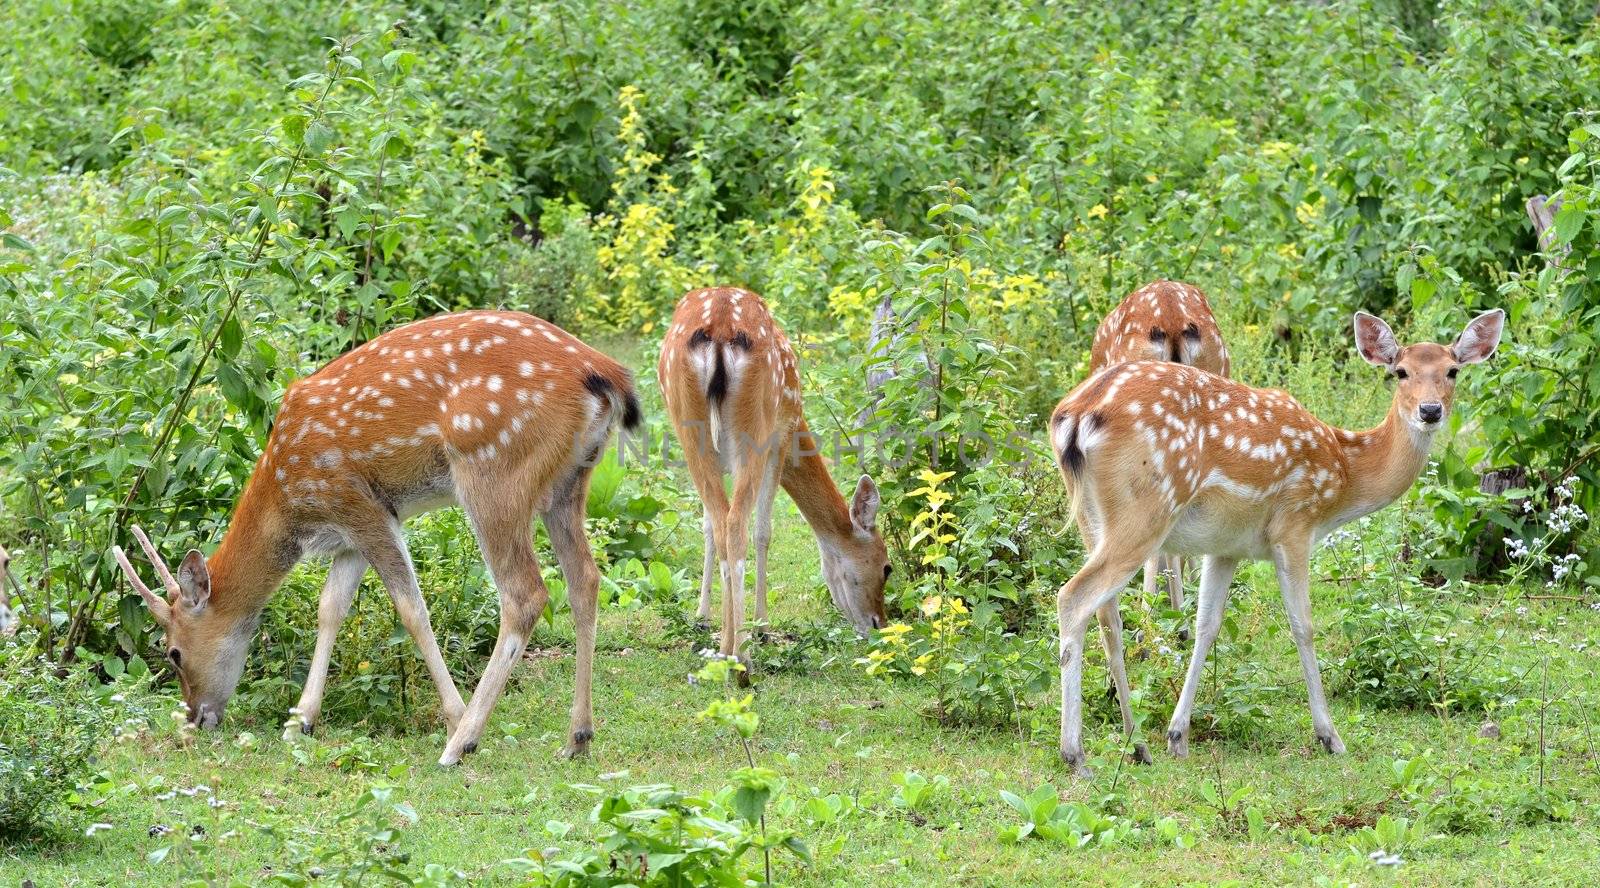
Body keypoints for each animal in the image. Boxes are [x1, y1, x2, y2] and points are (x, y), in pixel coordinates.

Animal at [114, 310, 636, 764]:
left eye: (173, 653)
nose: (196, 718)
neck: (290, 499)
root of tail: (605, 372)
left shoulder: (360, 504)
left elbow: (411, 610)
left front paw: (452, 716)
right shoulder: (351, 533)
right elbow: (330, 608)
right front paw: (300, 721)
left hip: (494, 470)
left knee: (525, 593)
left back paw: (461, 743)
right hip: (570, 481)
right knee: (585, 579)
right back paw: (577, 737)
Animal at [656, 286, 896, 681]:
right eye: (887, 566)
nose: (880, 624)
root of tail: (720, 328)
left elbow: (707, 527)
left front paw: (702, 620)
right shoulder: (781, 436)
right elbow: (764, 532)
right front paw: (762, 628)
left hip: (687, 426)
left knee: (722, 523)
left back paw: (725, 649)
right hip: (755, 425)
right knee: (738, 524)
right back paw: (742, 658)